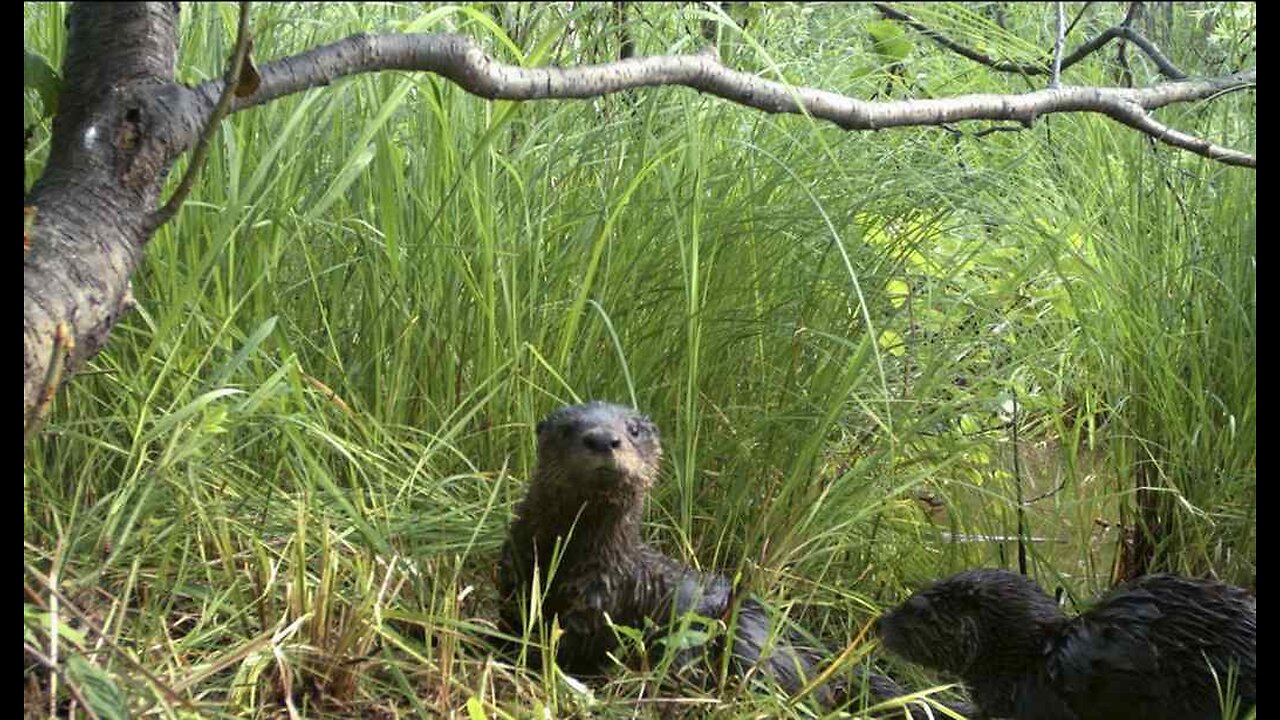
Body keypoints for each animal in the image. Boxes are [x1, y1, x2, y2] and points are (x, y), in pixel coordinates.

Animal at [496, 401, 909, 709]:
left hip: (746, 637)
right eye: (568, 429)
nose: (603, 440)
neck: (563, 559)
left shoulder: (598, 604)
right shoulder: (513, 580)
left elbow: (566, 649)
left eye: (633, 429)